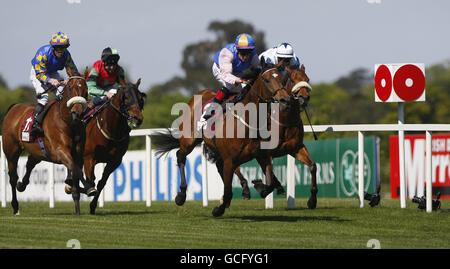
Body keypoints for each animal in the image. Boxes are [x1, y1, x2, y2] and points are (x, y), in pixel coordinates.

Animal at [1, 69, 89, 214]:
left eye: (86, 90)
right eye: (70, 88)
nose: (77, 112)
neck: (68, 122)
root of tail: (14, 107)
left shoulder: (77, 153)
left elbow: (76, 172)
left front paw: (77, 208)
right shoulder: (60, 151)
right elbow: (76, 170)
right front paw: (89, 187)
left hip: (38, 152)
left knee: (30, 164)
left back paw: (22, 185)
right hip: (11, 151)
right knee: (13, 178)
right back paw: (15, 206)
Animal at [64, 78, 146, 214]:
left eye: (140, 97)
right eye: (126, 97)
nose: (137, 118)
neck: (110, 129)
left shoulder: (115, 161)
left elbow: (101, 183)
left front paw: (92, 206)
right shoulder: (89, 158)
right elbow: (90, 181)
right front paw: (77, 188)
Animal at [152, 60, 292, 216]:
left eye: (282, 79)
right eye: (266, 80)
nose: (285, 100)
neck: (247, 121)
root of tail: (199, 94)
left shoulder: (262, 155)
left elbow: (271, 183)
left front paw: (259, 186)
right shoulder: (230, 159)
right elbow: (228, 189)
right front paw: (219, 209)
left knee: (218, 165)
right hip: (189, 141)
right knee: (180, 156)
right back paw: (181, 195)